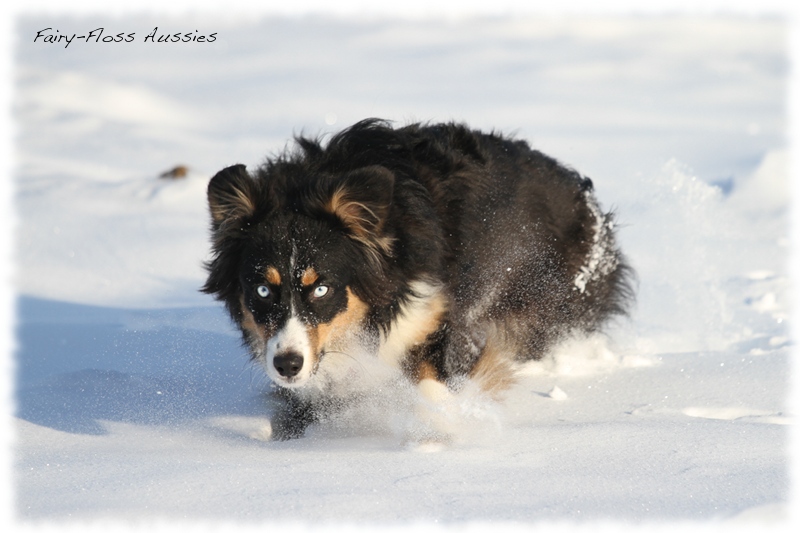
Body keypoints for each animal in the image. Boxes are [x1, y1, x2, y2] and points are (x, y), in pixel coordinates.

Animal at [202, 118, 632, 438]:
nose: (287, 365)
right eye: (262, 289)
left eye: (321, 288)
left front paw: (440, 428)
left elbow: (431, 378)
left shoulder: (433, 312)